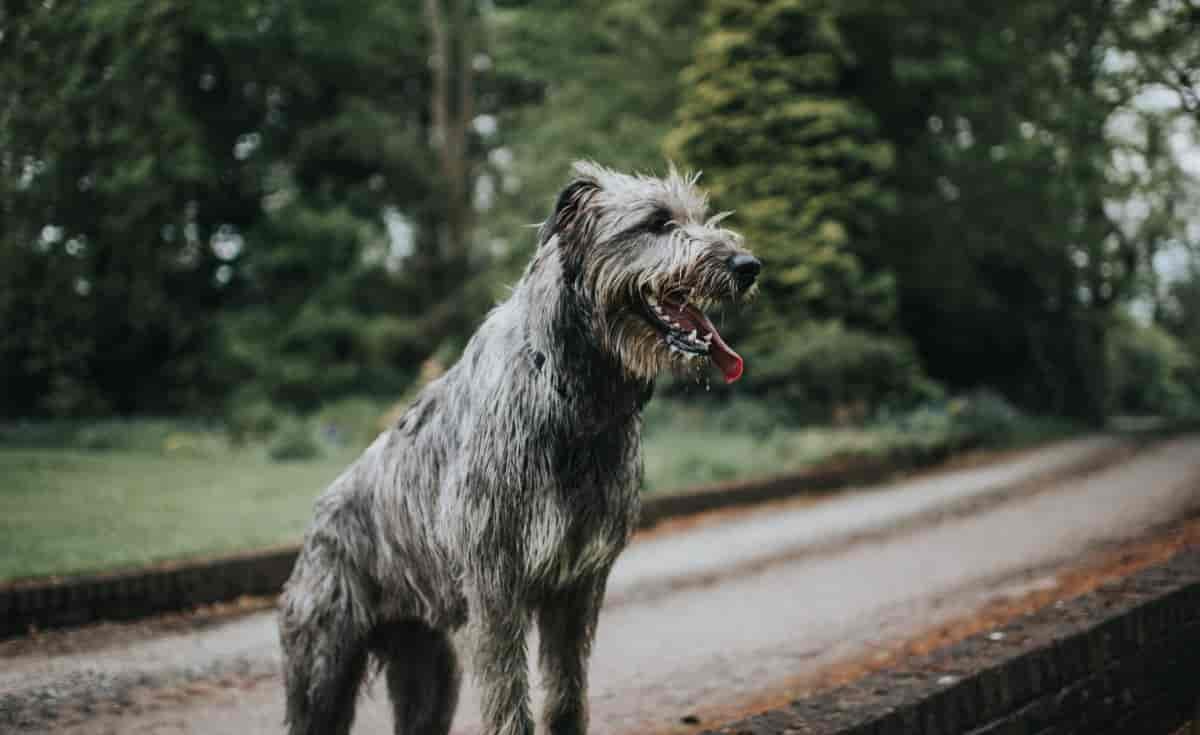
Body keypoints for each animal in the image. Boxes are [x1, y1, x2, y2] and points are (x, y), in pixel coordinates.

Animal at [278, 162, 758, 735]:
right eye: (658, 222)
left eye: (699, 216)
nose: (749, 266)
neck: (573, 399)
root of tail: (317, 517)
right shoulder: (494, 586)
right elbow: (508, 700)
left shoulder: (578, 587)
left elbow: (566, 694)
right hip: (322, 668)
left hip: (428, 670)